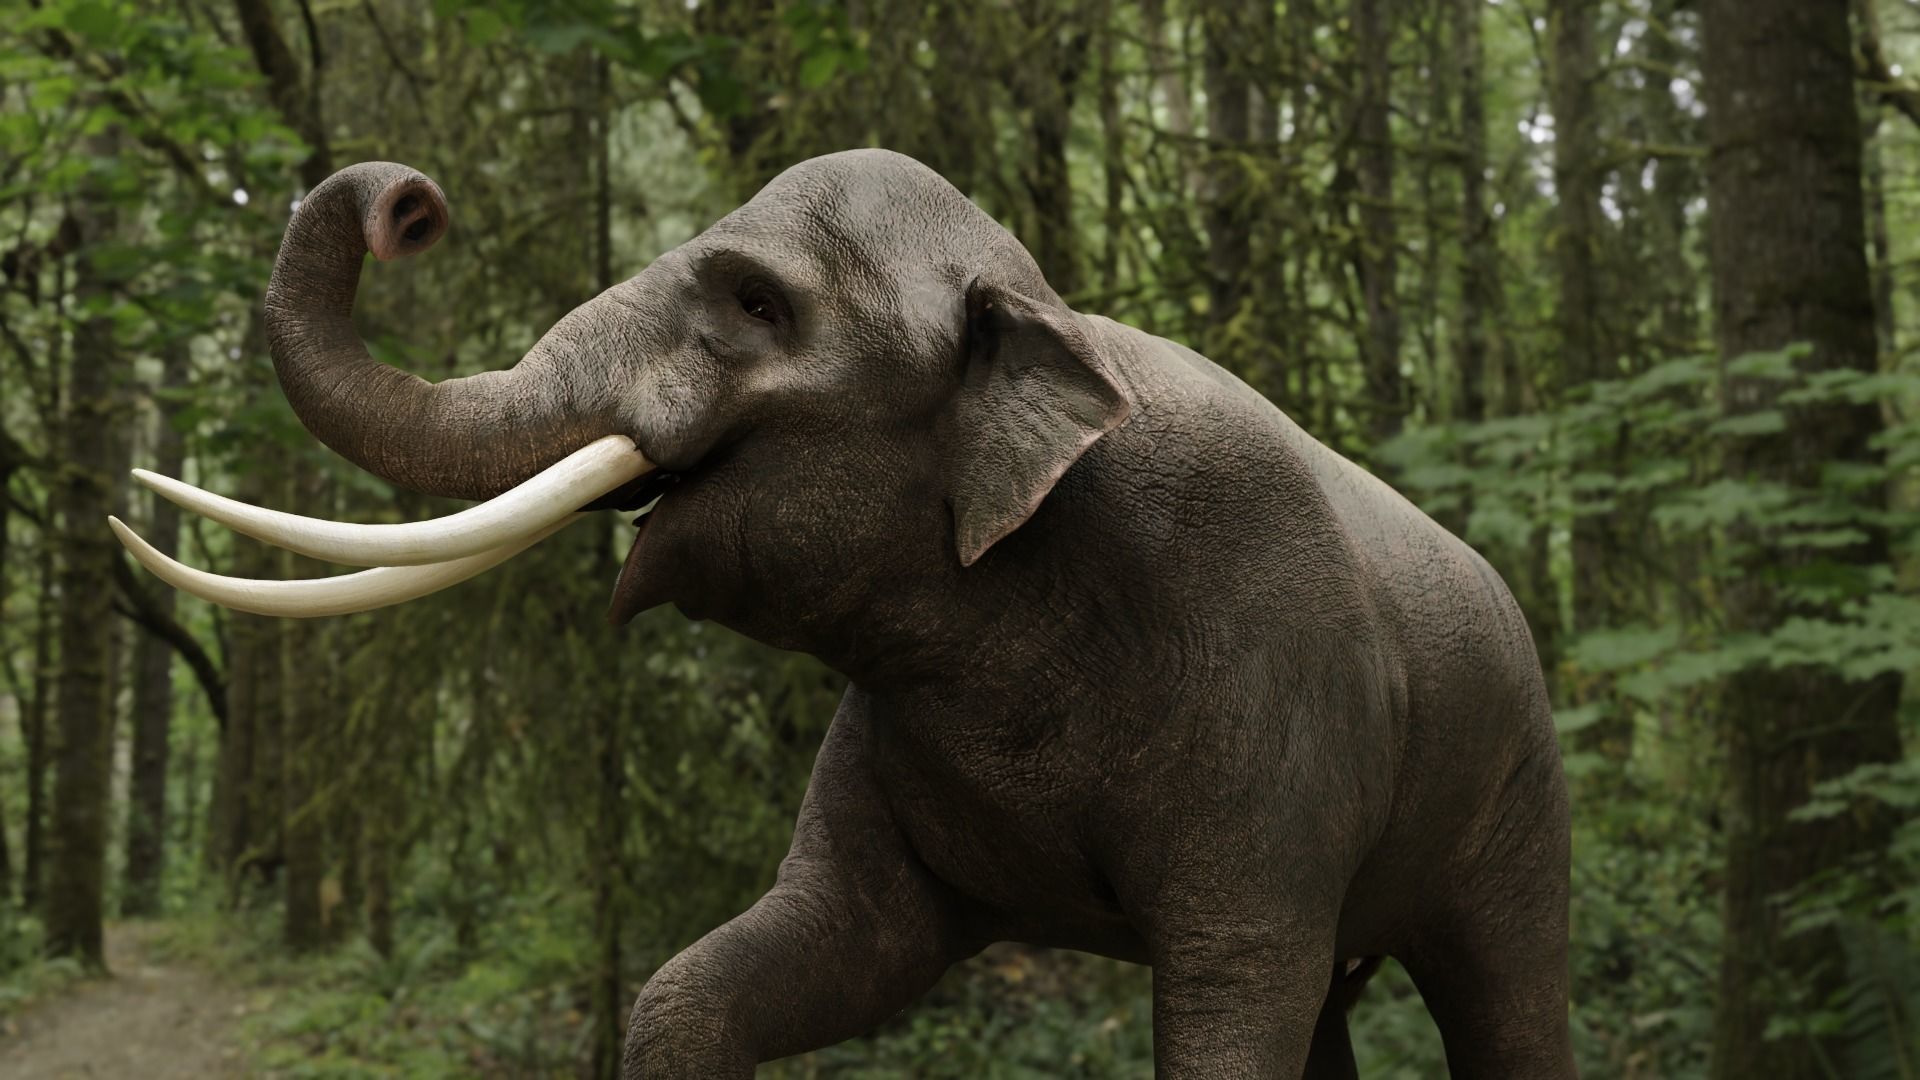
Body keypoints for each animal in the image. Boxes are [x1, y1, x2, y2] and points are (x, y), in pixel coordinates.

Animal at [114, 149, 1574, 1078]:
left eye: (759, 303)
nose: (406, 206)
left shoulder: (1268, 710)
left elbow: (1235, 995)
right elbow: (770, 964)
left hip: (1516, 796)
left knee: (1507, 1007)